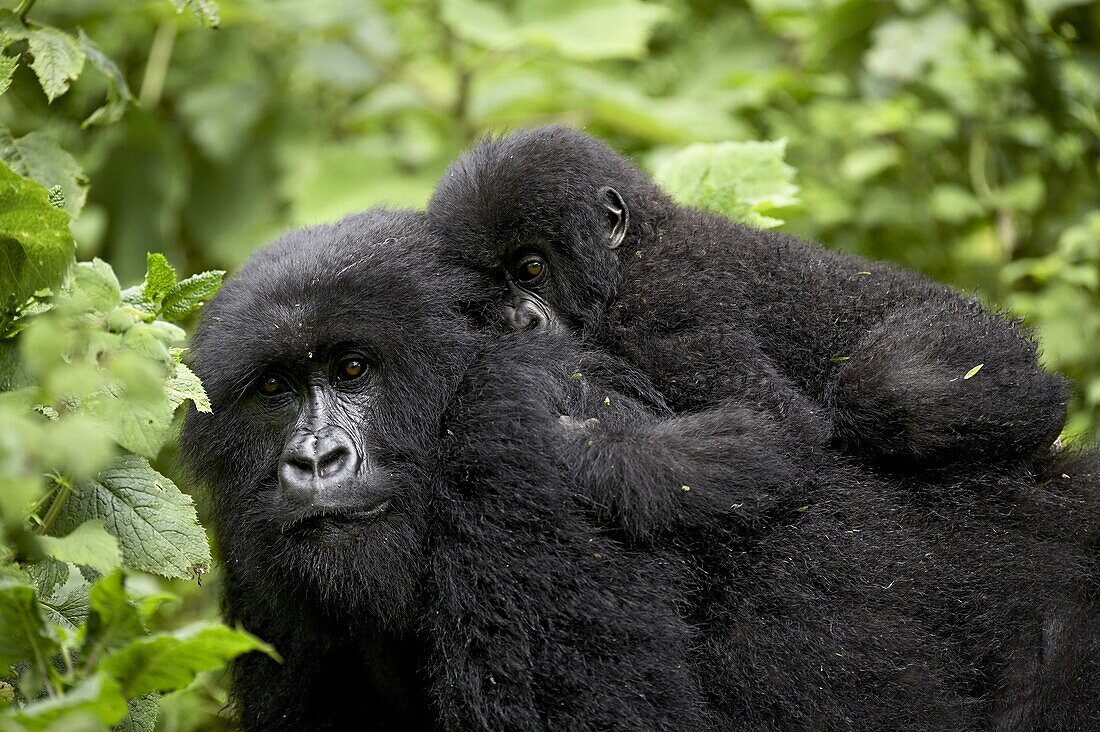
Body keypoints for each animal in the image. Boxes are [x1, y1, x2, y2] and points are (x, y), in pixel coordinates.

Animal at [429, 125, 1064, 468]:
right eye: (489, 294)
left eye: (531, 269)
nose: (517, 318)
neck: (635, 252)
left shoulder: (662, 312)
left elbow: (781, 427)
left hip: (982, 333)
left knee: (893, 387)